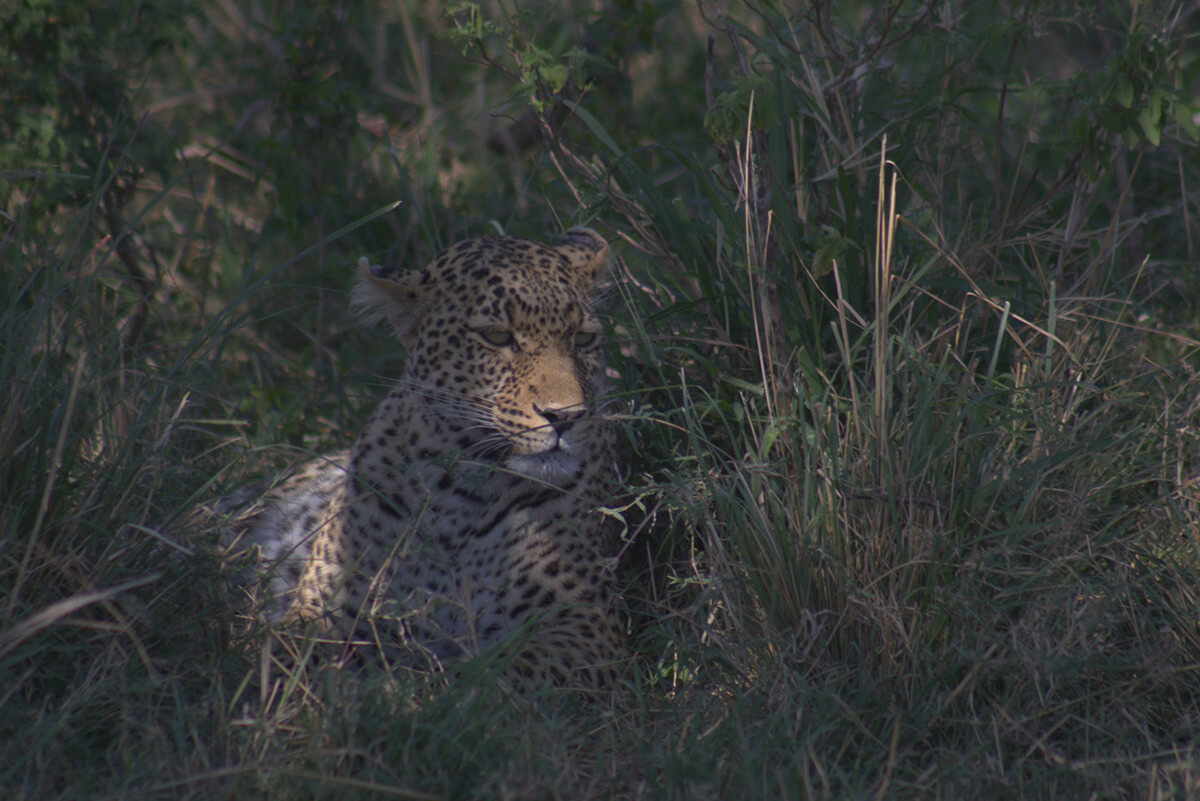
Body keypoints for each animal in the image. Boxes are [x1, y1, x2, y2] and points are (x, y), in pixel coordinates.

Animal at [242, 227, 625, 688]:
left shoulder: (584, 625)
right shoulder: (323, 611)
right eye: (497, 337)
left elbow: (494, 672)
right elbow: (287, 655)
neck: (460, 493)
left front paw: (407, 687)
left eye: (583, 339)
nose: (566, 417)